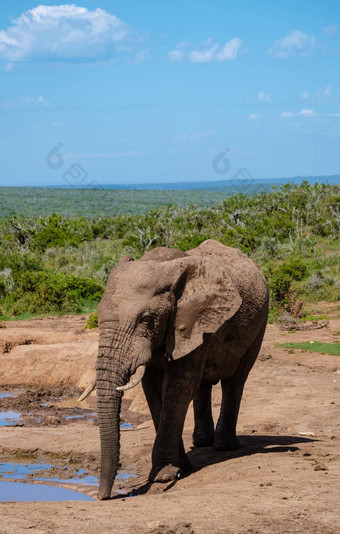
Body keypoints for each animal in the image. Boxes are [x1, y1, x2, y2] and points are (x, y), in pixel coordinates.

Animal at [93, 241, 268, 500]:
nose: (103, 497)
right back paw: (202, 442)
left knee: (236, 380)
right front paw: (178, 468)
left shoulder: (193, 319)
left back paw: (224, 446)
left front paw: (165, 475)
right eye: (98, 316)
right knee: (203, 384)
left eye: (146, 319)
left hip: (260, 322)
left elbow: (178, 386)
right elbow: (153, 388)